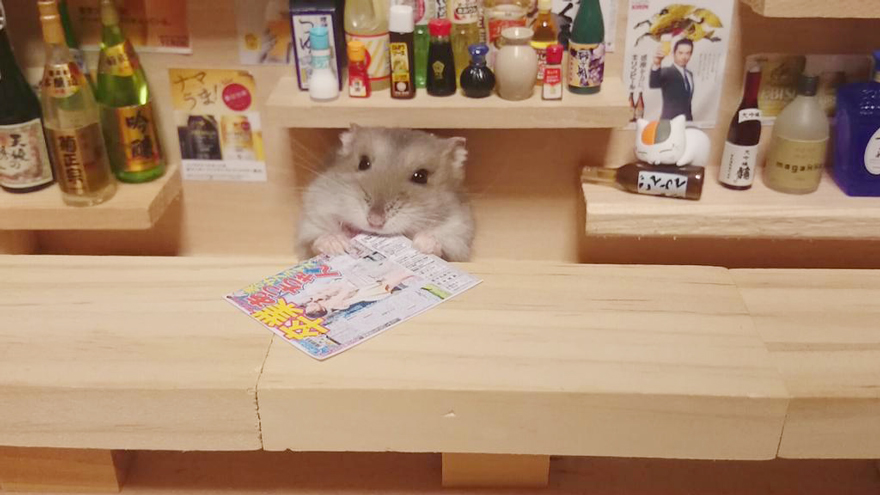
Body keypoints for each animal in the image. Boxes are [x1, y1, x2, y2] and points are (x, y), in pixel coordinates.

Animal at [296, 125, 475, 262]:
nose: (375, 221)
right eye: (363, 163)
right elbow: (314, 242)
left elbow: (443, 249)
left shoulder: (458, 237)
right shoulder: (311, 220)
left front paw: (422, 244)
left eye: (421, 176)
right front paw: (336, 244)